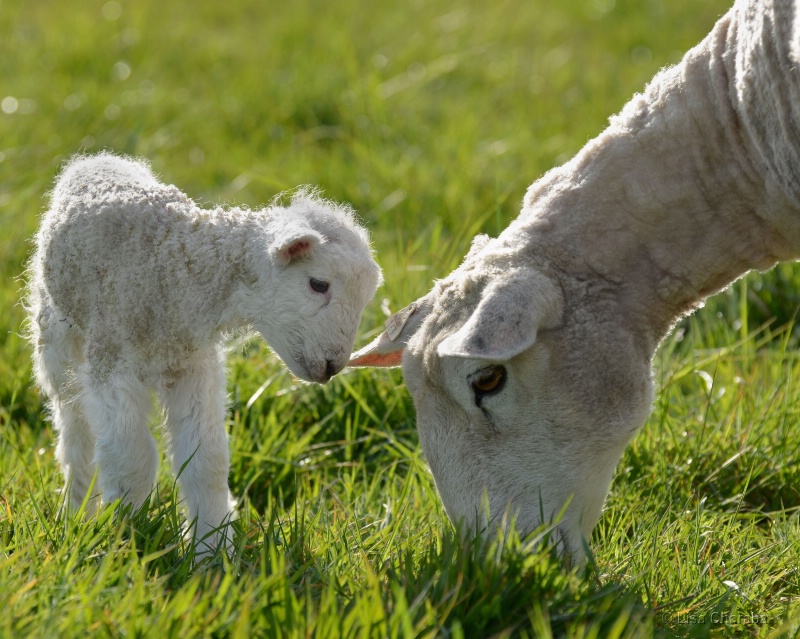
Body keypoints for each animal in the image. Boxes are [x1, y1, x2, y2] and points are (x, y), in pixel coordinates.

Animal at [26, 155, 382, 556]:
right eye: (318, 284)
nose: (334, 365)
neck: (177, 273)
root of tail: (94, 159)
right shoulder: (112, 360)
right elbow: (132, 459)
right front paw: (128, 541)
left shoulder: (193, 366)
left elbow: (206, 461)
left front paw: (212, 553)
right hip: (56, 336)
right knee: (74, 429)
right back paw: (76, 511)